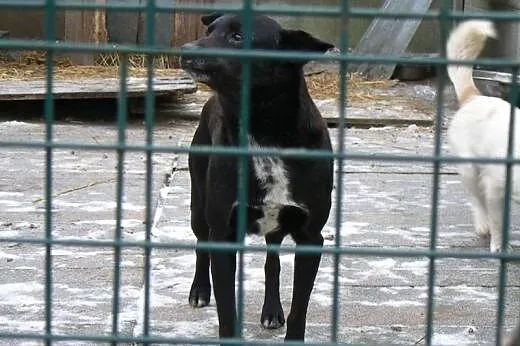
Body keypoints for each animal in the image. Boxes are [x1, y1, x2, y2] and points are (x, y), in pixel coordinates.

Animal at [180, 12, 334, 340]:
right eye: (209, 31)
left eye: (238, 37)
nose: (186, 50)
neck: (263, 132)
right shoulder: (223, 232)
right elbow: (227, 309)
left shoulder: (311, 237)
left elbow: (299, 308)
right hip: (199, 207)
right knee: (201, 244)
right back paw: (199, 290)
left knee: (272, 263)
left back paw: (272, 311)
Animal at [444, 20, 516, 253]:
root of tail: (474, 97)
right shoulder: (495, 189)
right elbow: (497, 222)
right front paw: (499, 245)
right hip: (471, 171)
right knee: (477, 201)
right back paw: (483, 226)